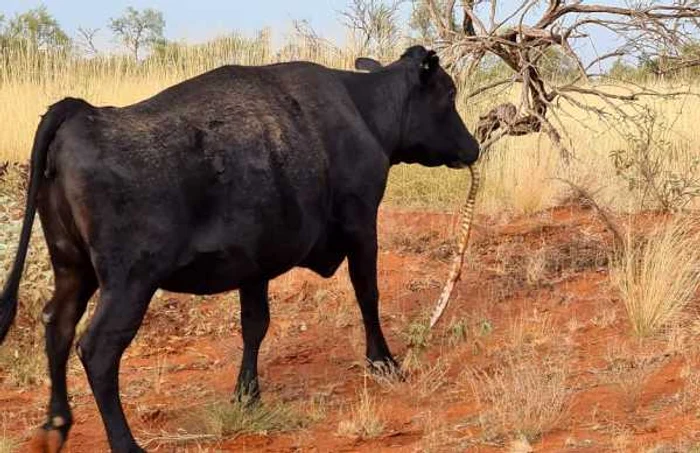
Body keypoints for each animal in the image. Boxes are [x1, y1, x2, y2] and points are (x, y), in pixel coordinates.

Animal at [0, 45, 478, 448]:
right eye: (450, 93)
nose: (473, 147)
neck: (363, 110)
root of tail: (84, 112)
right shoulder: (362, 225)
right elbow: (367, 294)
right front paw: (384, 361)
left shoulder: (255, 262)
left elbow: (254, 325)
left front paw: (247, 393)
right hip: (129, 282)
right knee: (97, 349)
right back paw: (125, 444)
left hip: (73, 266)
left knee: (57, 325)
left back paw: (56, 425)